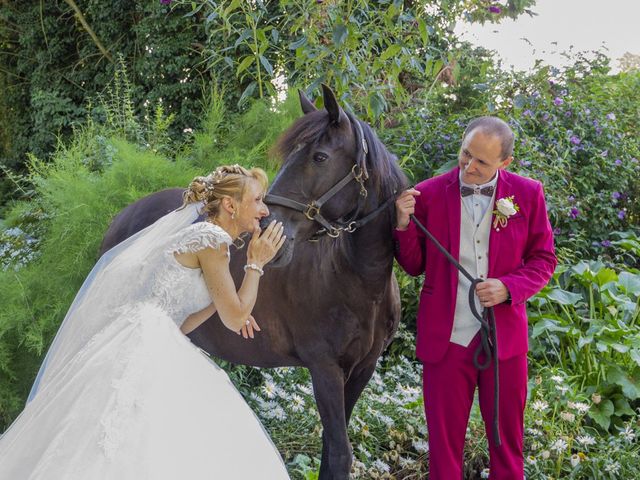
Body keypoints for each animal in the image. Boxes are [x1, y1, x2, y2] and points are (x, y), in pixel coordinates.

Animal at [101, 84, 410, 478]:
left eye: (320, 157)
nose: (264, 226)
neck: (357, 281)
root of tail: (122, 218)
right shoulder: (324, 367)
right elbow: (340, 452)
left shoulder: (362, 369)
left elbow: (331, 450)